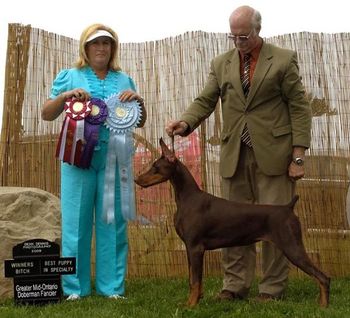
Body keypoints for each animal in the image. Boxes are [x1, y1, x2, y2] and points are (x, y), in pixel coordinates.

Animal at [134, 138, 330, 306]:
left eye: (155, 167)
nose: (136, 179)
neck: (187, 198)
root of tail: (288, 207)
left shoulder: (195, 247)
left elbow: (195, 280)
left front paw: (190, 305)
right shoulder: (190, 249)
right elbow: (193, 280)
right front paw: (196, 300)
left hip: (292, 246)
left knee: (323, 277)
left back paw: (323, 306)